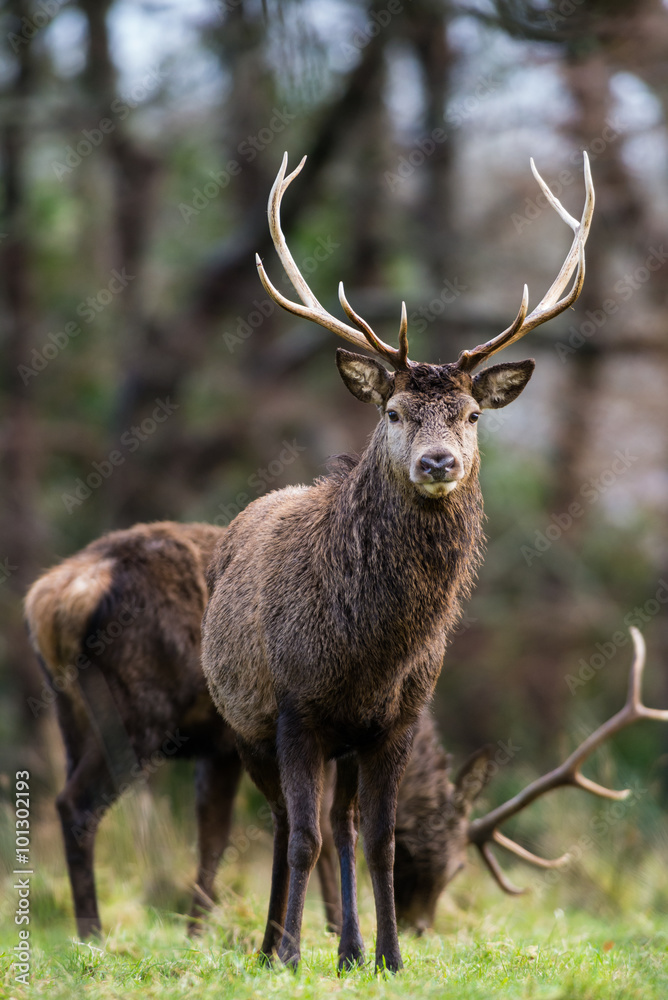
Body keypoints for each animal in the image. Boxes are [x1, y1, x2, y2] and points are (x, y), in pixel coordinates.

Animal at [200, 150, 596, 972]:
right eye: (393, 412)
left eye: (472, 415)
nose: (439, 462)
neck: (366, 653)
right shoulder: (294, 707)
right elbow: (302, 837)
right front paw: (291, 955)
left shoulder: (397, 719)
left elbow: (380, 840)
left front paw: (387, 956)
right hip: (242, 720)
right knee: (289, 826)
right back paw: (272, 945)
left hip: (344, 746)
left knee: (344, 827)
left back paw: (347, 949)